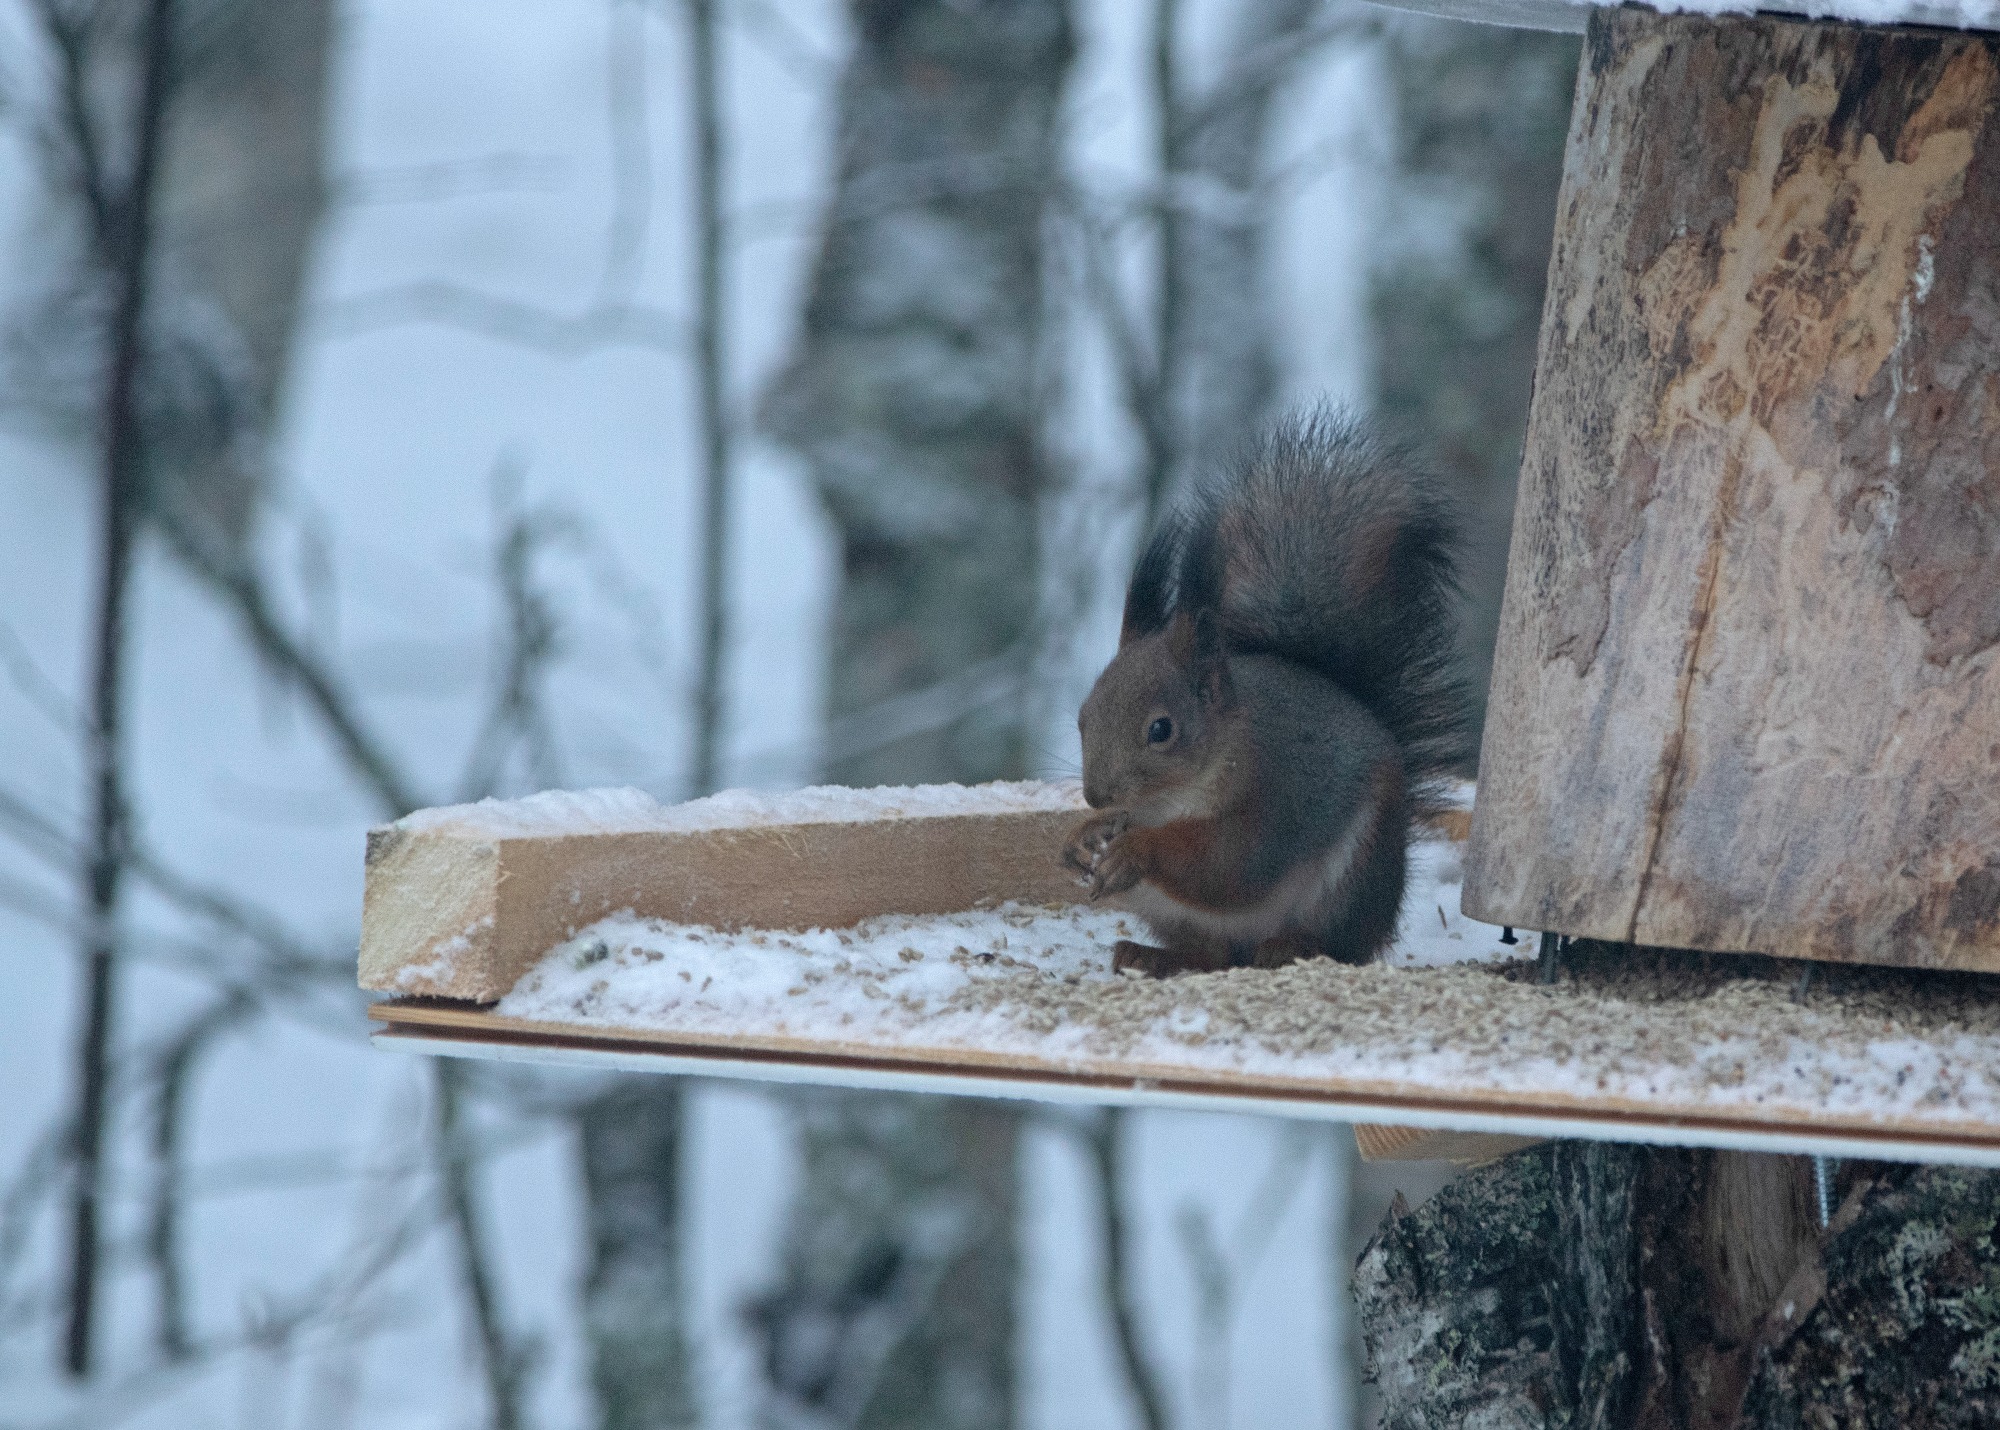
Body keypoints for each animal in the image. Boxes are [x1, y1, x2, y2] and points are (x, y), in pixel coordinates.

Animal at [1062, 409, 1470, 977]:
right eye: (1083, 717)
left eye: (1161, 730)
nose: (1096, 795)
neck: (1170, 802)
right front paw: (1083, 837)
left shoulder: (1273, 798)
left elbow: (1228, 864)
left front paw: (1136, 848)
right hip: (1169, 911)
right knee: (1210, 954)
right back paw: (1151, 954)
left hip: (1351, 877)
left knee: (1338, 944)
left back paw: (1292, 947)